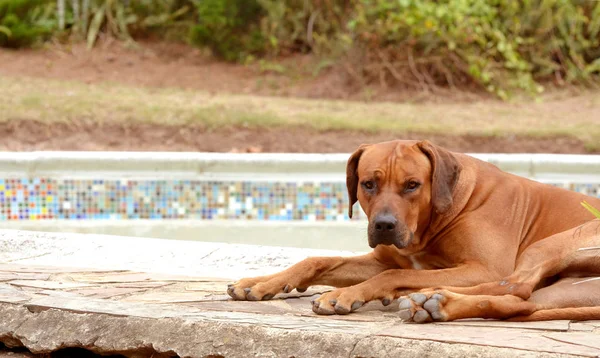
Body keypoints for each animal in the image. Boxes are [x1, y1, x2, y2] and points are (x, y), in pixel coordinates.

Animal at [226, 140, 600, 322]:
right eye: (368, 183)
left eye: (412, 185)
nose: (384, 225)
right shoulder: (382, 257)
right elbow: (316, 260)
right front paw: (261, 282)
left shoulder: (483, 267)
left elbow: (392, 274)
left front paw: (343, 294)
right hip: (568, 289)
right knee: (520, 304)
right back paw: (437, 303)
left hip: (555, 244)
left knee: (517, 286)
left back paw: (429, 294)